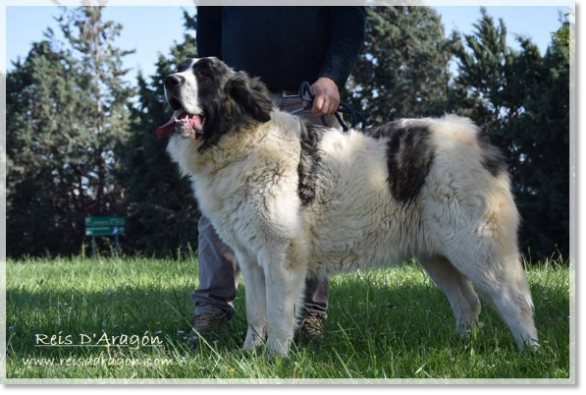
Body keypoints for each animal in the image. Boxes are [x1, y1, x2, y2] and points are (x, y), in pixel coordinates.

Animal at [157, 57, 536, 358]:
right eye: (183, 68)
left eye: (204, 74)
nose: (168, 80)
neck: (244, 141)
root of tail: (475, 136)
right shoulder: (250, 259)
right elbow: (255, 312)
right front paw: (248, 354)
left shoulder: (281, 254)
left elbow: (278, 311)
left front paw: (274, 358)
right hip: (438, 256)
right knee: (469, 301)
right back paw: (463, 348)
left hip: (477, 249)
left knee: (515, 300)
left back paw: (530, 353)